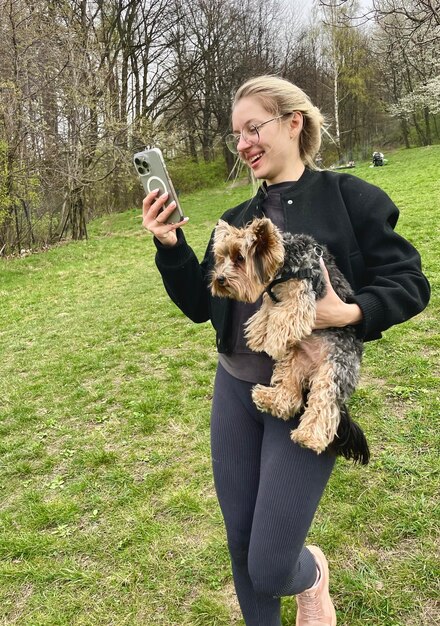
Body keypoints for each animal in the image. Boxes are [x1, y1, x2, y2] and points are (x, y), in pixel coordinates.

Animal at [211, 217, 370, 460]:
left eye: (239, 258)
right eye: (222, 257)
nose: (219, 279)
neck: (286, 259)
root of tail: (313, 368)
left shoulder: (302, 293)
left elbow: (283, 315)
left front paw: (273, 340)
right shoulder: (274, 293)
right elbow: (267, 308)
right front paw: (258, 334)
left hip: (334, 371)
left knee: (324, 405)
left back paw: (309, 437)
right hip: (293, 362)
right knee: (291, 396)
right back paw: (269, 398)